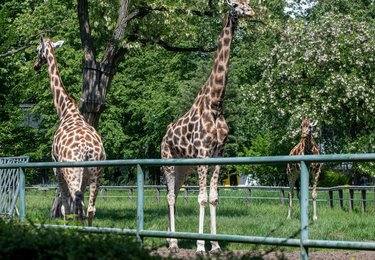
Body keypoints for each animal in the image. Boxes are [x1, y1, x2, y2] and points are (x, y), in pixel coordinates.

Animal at [33, 37, 106, 225]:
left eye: (37, 50)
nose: (36, 66)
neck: (65, 112)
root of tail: (87, 149)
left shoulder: (56, 166)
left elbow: (65, 207)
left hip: (71, 170)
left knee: (77, 199)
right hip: (97, 172)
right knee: (90, 208)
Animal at [162, 0, 256, 254]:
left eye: (248, 3)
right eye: (235, 4)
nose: (251, 12)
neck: (215, 103)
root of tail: (164, 137)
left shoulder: (218, 153)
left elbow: (213, 197)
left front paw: (215, 245)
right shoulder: (203, 152)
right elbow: (202, 198)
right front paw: (200, 246)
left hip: (184, 166)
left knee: (174, 193)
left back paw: (171, 239)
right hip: (168, 162)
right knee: (170, 196)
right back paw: (173, 243)